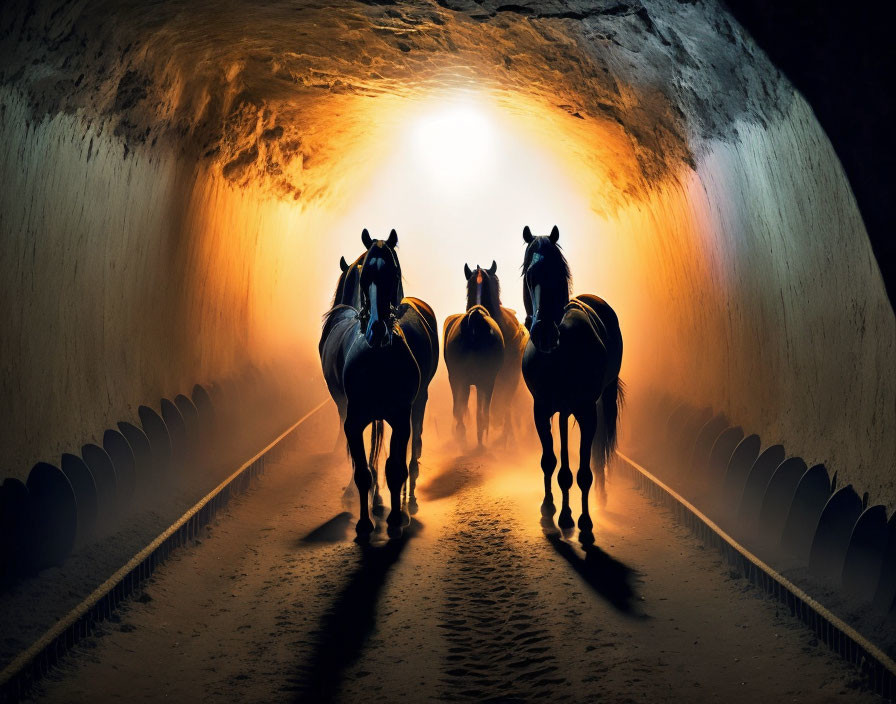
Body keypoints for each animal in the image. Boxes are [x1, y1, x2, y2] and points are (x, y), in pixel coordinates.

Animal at [320, 230, 440, 532]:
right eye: (365, 277)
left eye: (394, 272)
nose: (378, 329)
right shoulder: (353, 420)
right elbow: (363, 470)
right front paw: (365, 521)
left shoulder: (400, 415)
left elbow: (394, 467)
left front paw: (397, 518)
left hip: (418, 403)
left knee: (413, 445)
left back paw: (408, 498)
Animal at [444, 264, 508, 446]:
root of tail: (475, 317)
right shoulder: (486, 382)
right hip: (483, 381)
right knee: (481, 415)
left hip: (457, 380)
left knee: (459, 413)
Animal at [520, 228, 624, 532]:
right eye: (529, 275)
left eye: (557, 272)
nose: (543, 332)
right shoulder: (541, 410)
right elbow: (550, 461)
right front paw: (548, 508)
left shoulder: (588, 412)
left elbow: (584, 471)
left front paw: (586, 522)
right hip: (563, 410)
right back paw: (564, 512)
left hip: (599, 401)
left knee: (597, 454)